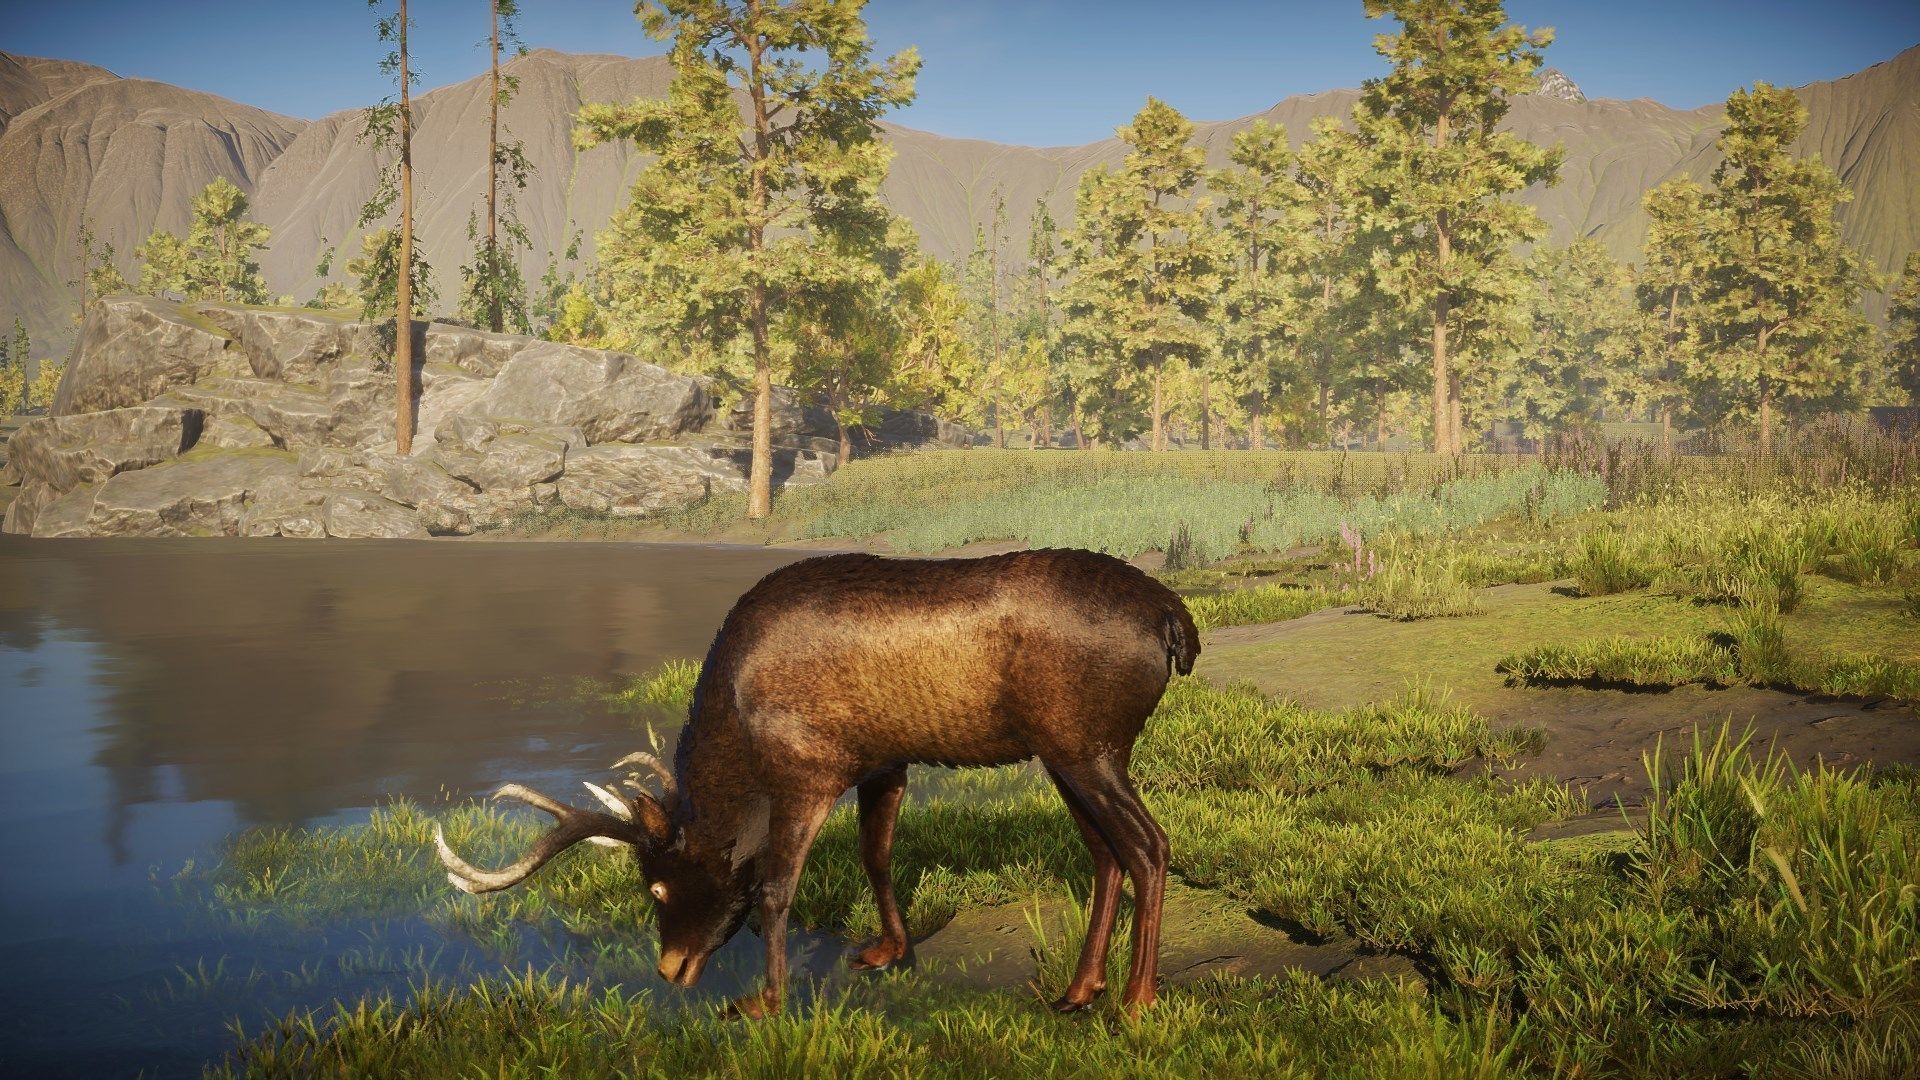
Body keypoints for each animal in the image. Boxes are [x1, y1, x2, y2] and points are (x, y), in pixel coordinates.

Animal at [434, 547, 1199, 1017]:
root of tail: (1176, 625)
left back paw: (1137, 999)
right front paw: (888, 950)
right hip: (1064, 752)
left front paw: (763, 1003)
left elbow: (776, 890)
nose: (670, 969)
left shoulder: (809, 766)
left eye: (656, 887)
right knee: (1105, 853)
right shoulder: (883, 760)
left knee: (1150, 846)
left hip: (1092, 746)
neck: (738, 718)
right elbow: (877, 855)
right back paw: (1079, 989)